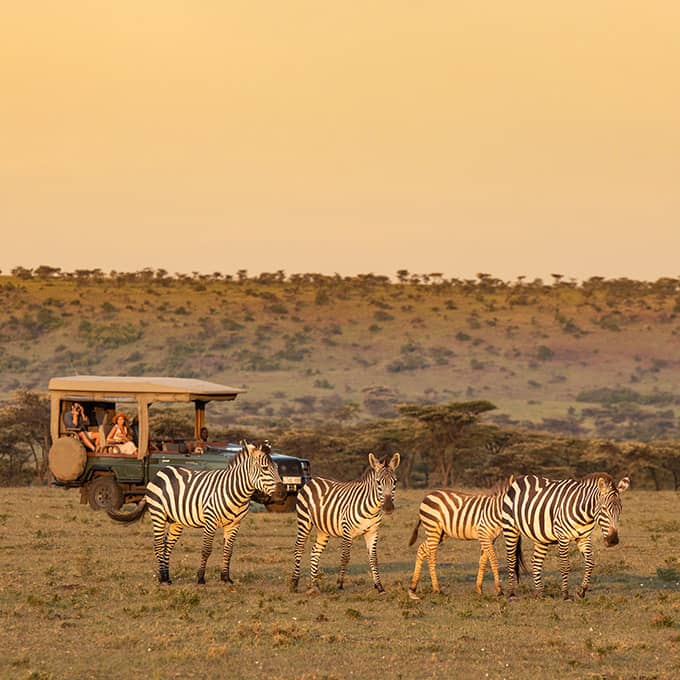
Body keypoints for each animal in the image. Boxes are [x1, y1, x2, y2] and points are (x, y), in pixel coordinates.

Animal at [109, 440, 284, 584]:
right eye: (265, 468)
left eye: (276, 468)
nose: (282, 493)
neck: (236, 491)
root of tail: (162, 471)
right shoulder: (210, 520)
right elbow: (206, 550)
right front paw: (200, 578)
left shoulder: (234, 524)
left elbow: (228, 551)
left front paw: (226, 578)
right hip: (158, 514)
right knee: (158, 544)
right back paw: (162, 578)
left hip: (176, 521)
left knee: (167, 545)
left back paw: (166, 576)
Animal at [290, 454, 398, 592]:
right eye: (378, 482)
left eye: (395, 482)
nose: (388, 508)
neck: (372, 509)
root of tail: (313, 480)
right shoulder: (347, 531)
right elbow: (345, 557)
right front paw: (340, 583)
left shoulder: (373, 532)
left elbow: (374, 559)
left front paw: (379, 586)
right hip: (304, 520)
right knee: (298, 548)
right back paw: (294, 583)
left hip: (323, 529)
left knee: (315, 552)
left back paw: (315, 585)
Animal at [502, 472, 628, 600]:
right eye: (604, 508)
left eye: (620, 509)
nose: (613, 540)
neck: (584, 512)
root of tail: (519, 479)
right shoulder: (563, 537)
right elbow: (565, 565)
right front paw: (565, 594)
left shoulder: (584, 537)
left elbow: (590, 563)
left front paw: (582, 590)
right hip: (510, 529)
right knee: (511, 560)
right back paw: (511, 593)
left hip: (540, 537)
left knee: (536, 562)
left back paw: (540, 593)